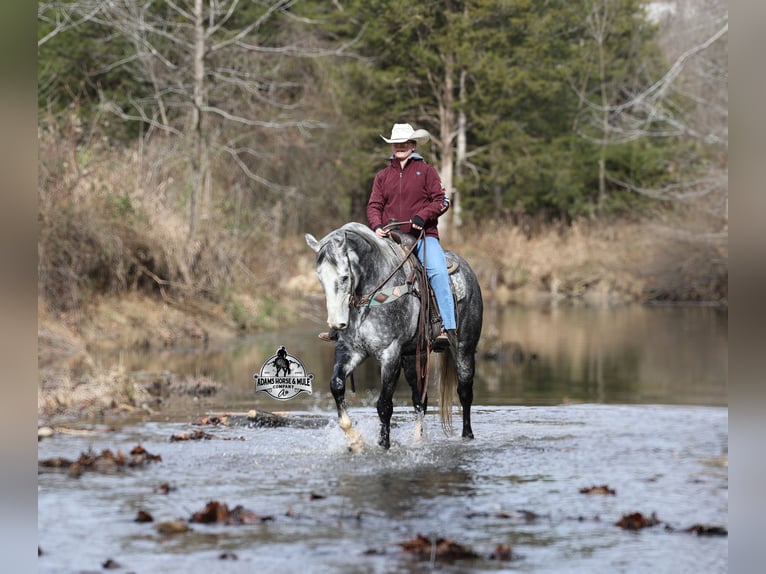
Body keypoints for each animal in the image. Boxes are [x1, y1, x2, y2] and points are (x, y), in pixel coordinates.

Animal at [305, 222, 483, 450]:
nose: (337, 323)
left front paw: (384, 444)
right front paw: (355, 440)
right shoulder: (351, 350)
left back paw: (467, 436)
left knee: (465, 393)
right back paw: (418, 439)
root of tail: (468, 270)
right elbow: (336, 385)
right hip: (414, 357)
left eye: (344, 277)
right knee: (420, 399)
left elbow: (384, 405)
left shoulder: (390, 355)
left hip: (464, 349)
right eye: (320, 277)